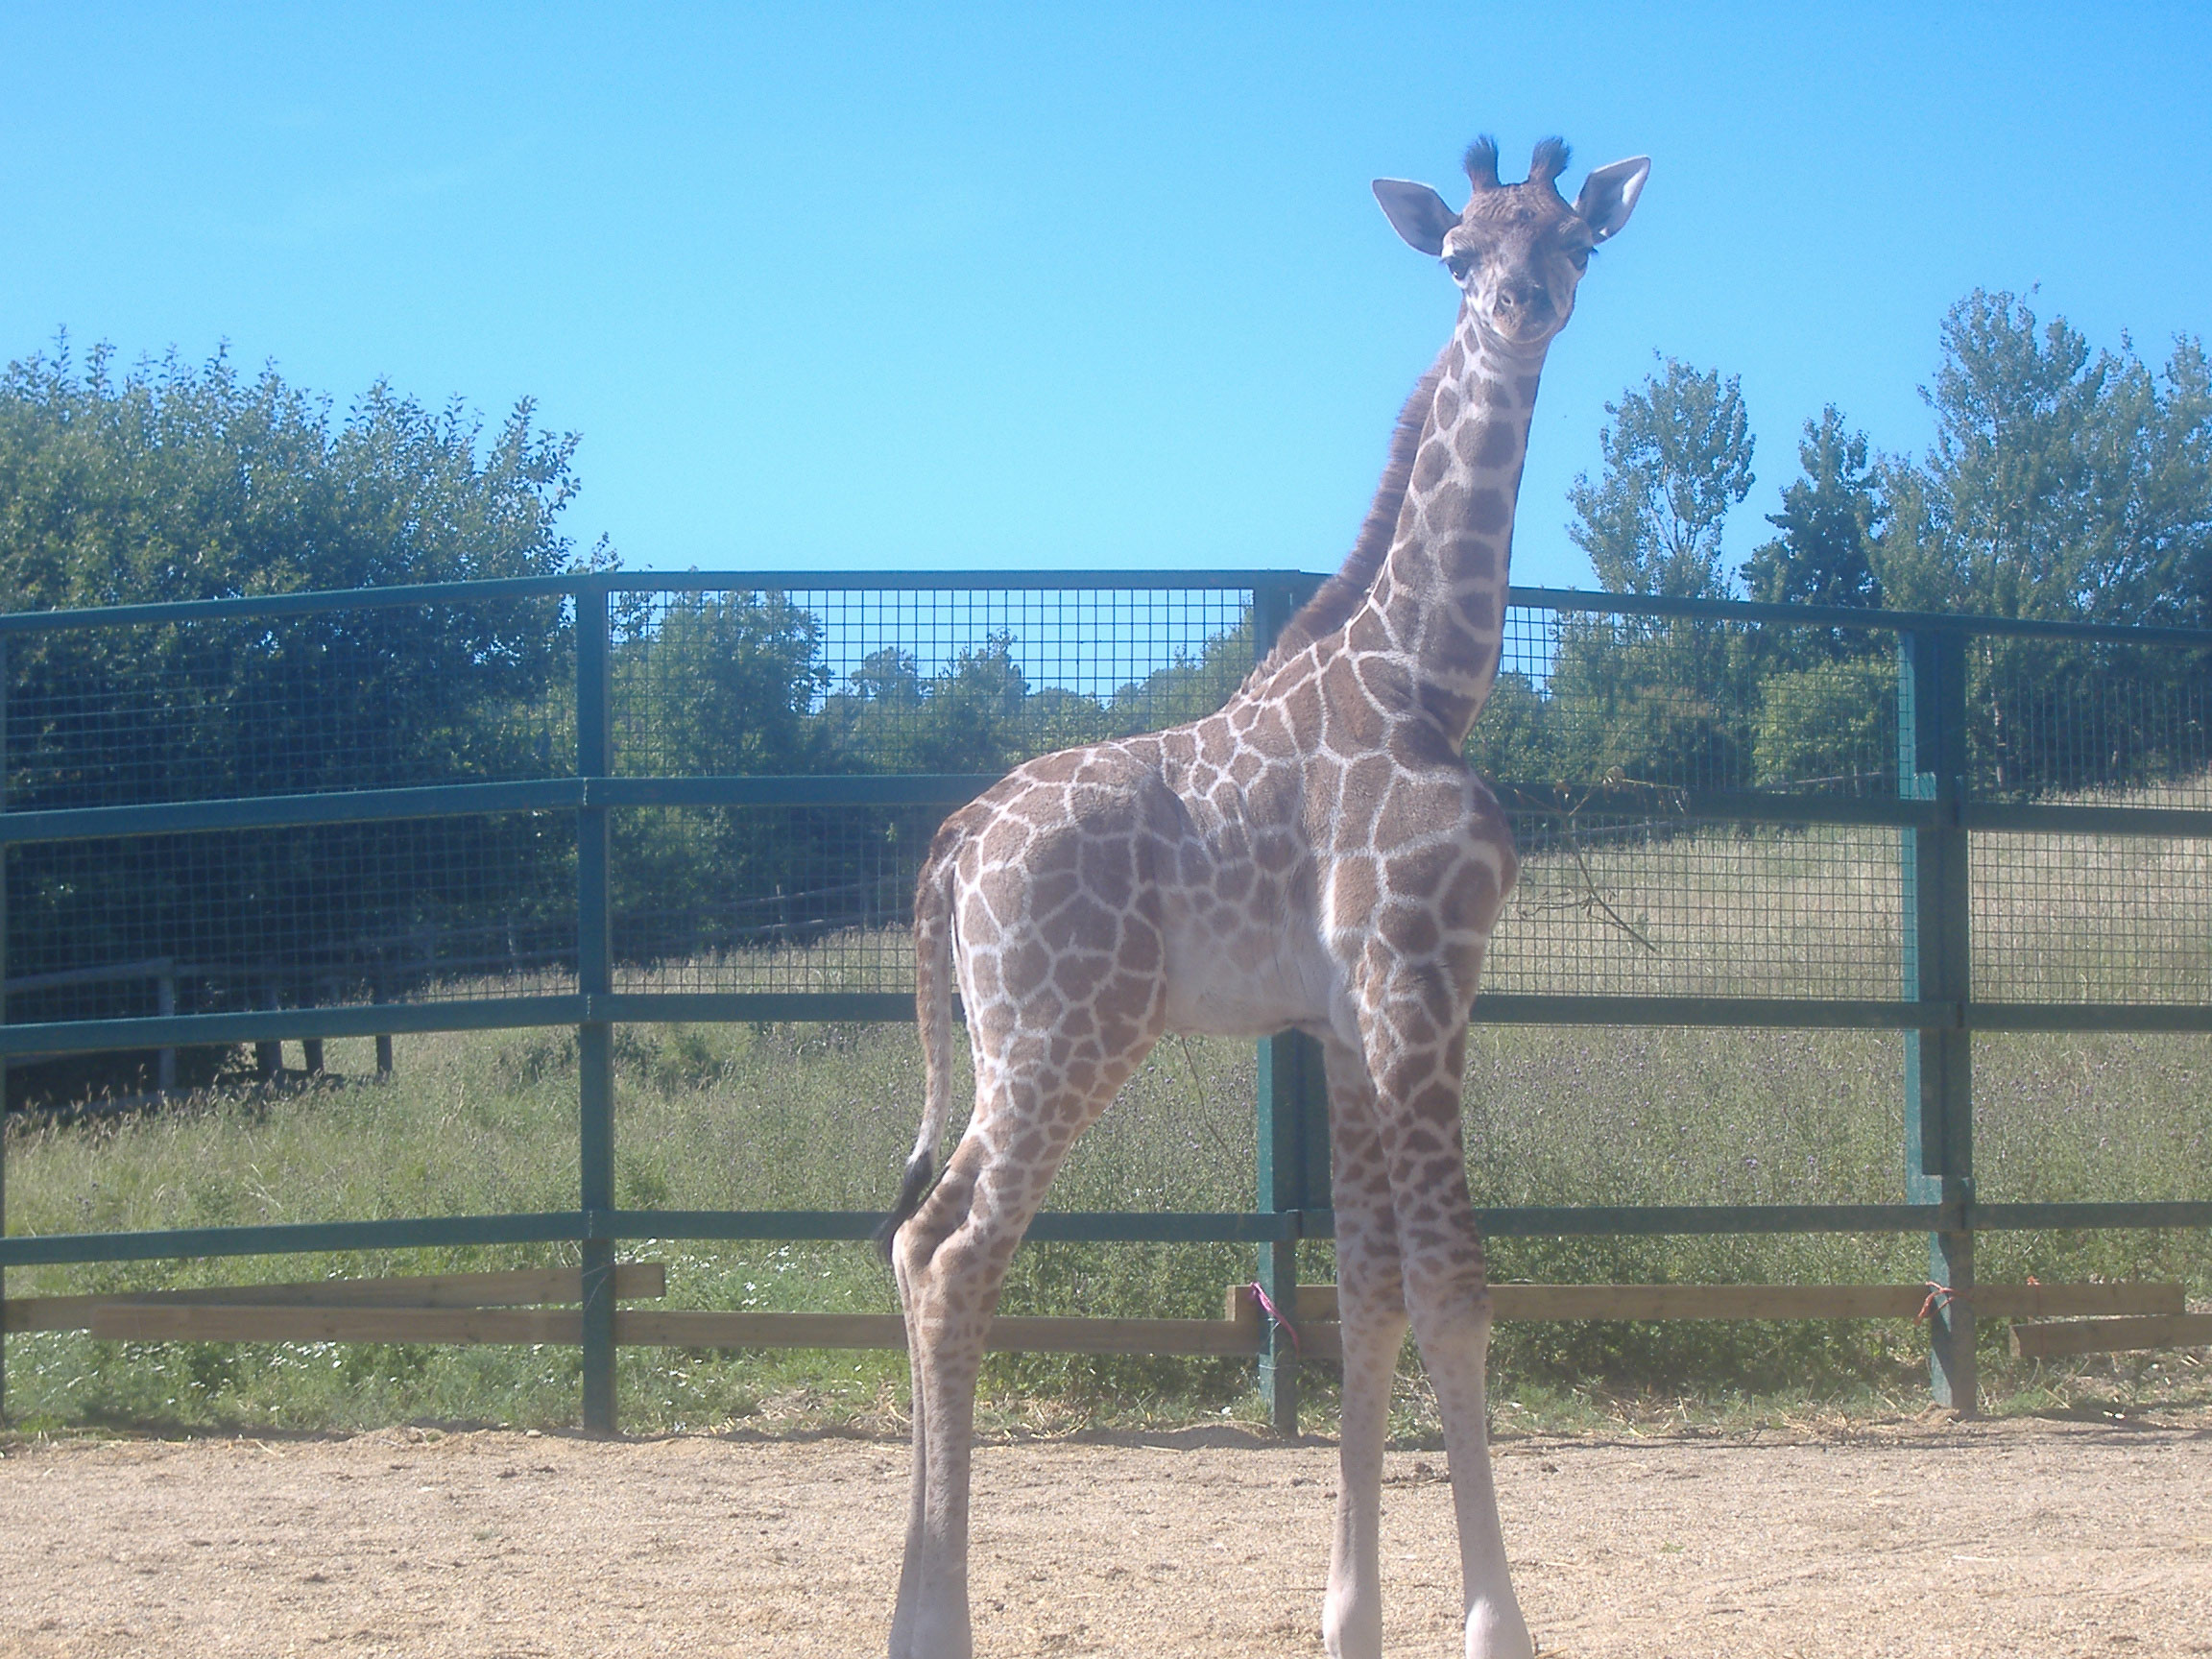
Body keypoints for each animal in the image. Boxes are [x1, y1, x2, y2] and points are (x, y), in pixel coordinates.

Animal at [880, 135, 1649, 1659]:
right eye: (1457, 253)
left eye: (1575, 240)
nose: (1522, 303)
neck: (1429, 678)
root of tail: (957, 842)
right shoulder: (1422, 982)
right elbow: (1456, 1296)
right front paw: (1497, 1626)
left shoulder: (1348, 1026)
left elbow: (1366, 1299)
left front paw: (1350, 1617)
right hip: (1072, 1037)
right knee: (958, 1260)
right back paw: (935, 1625)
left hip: (1007, 1044)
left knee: (916, 1237)